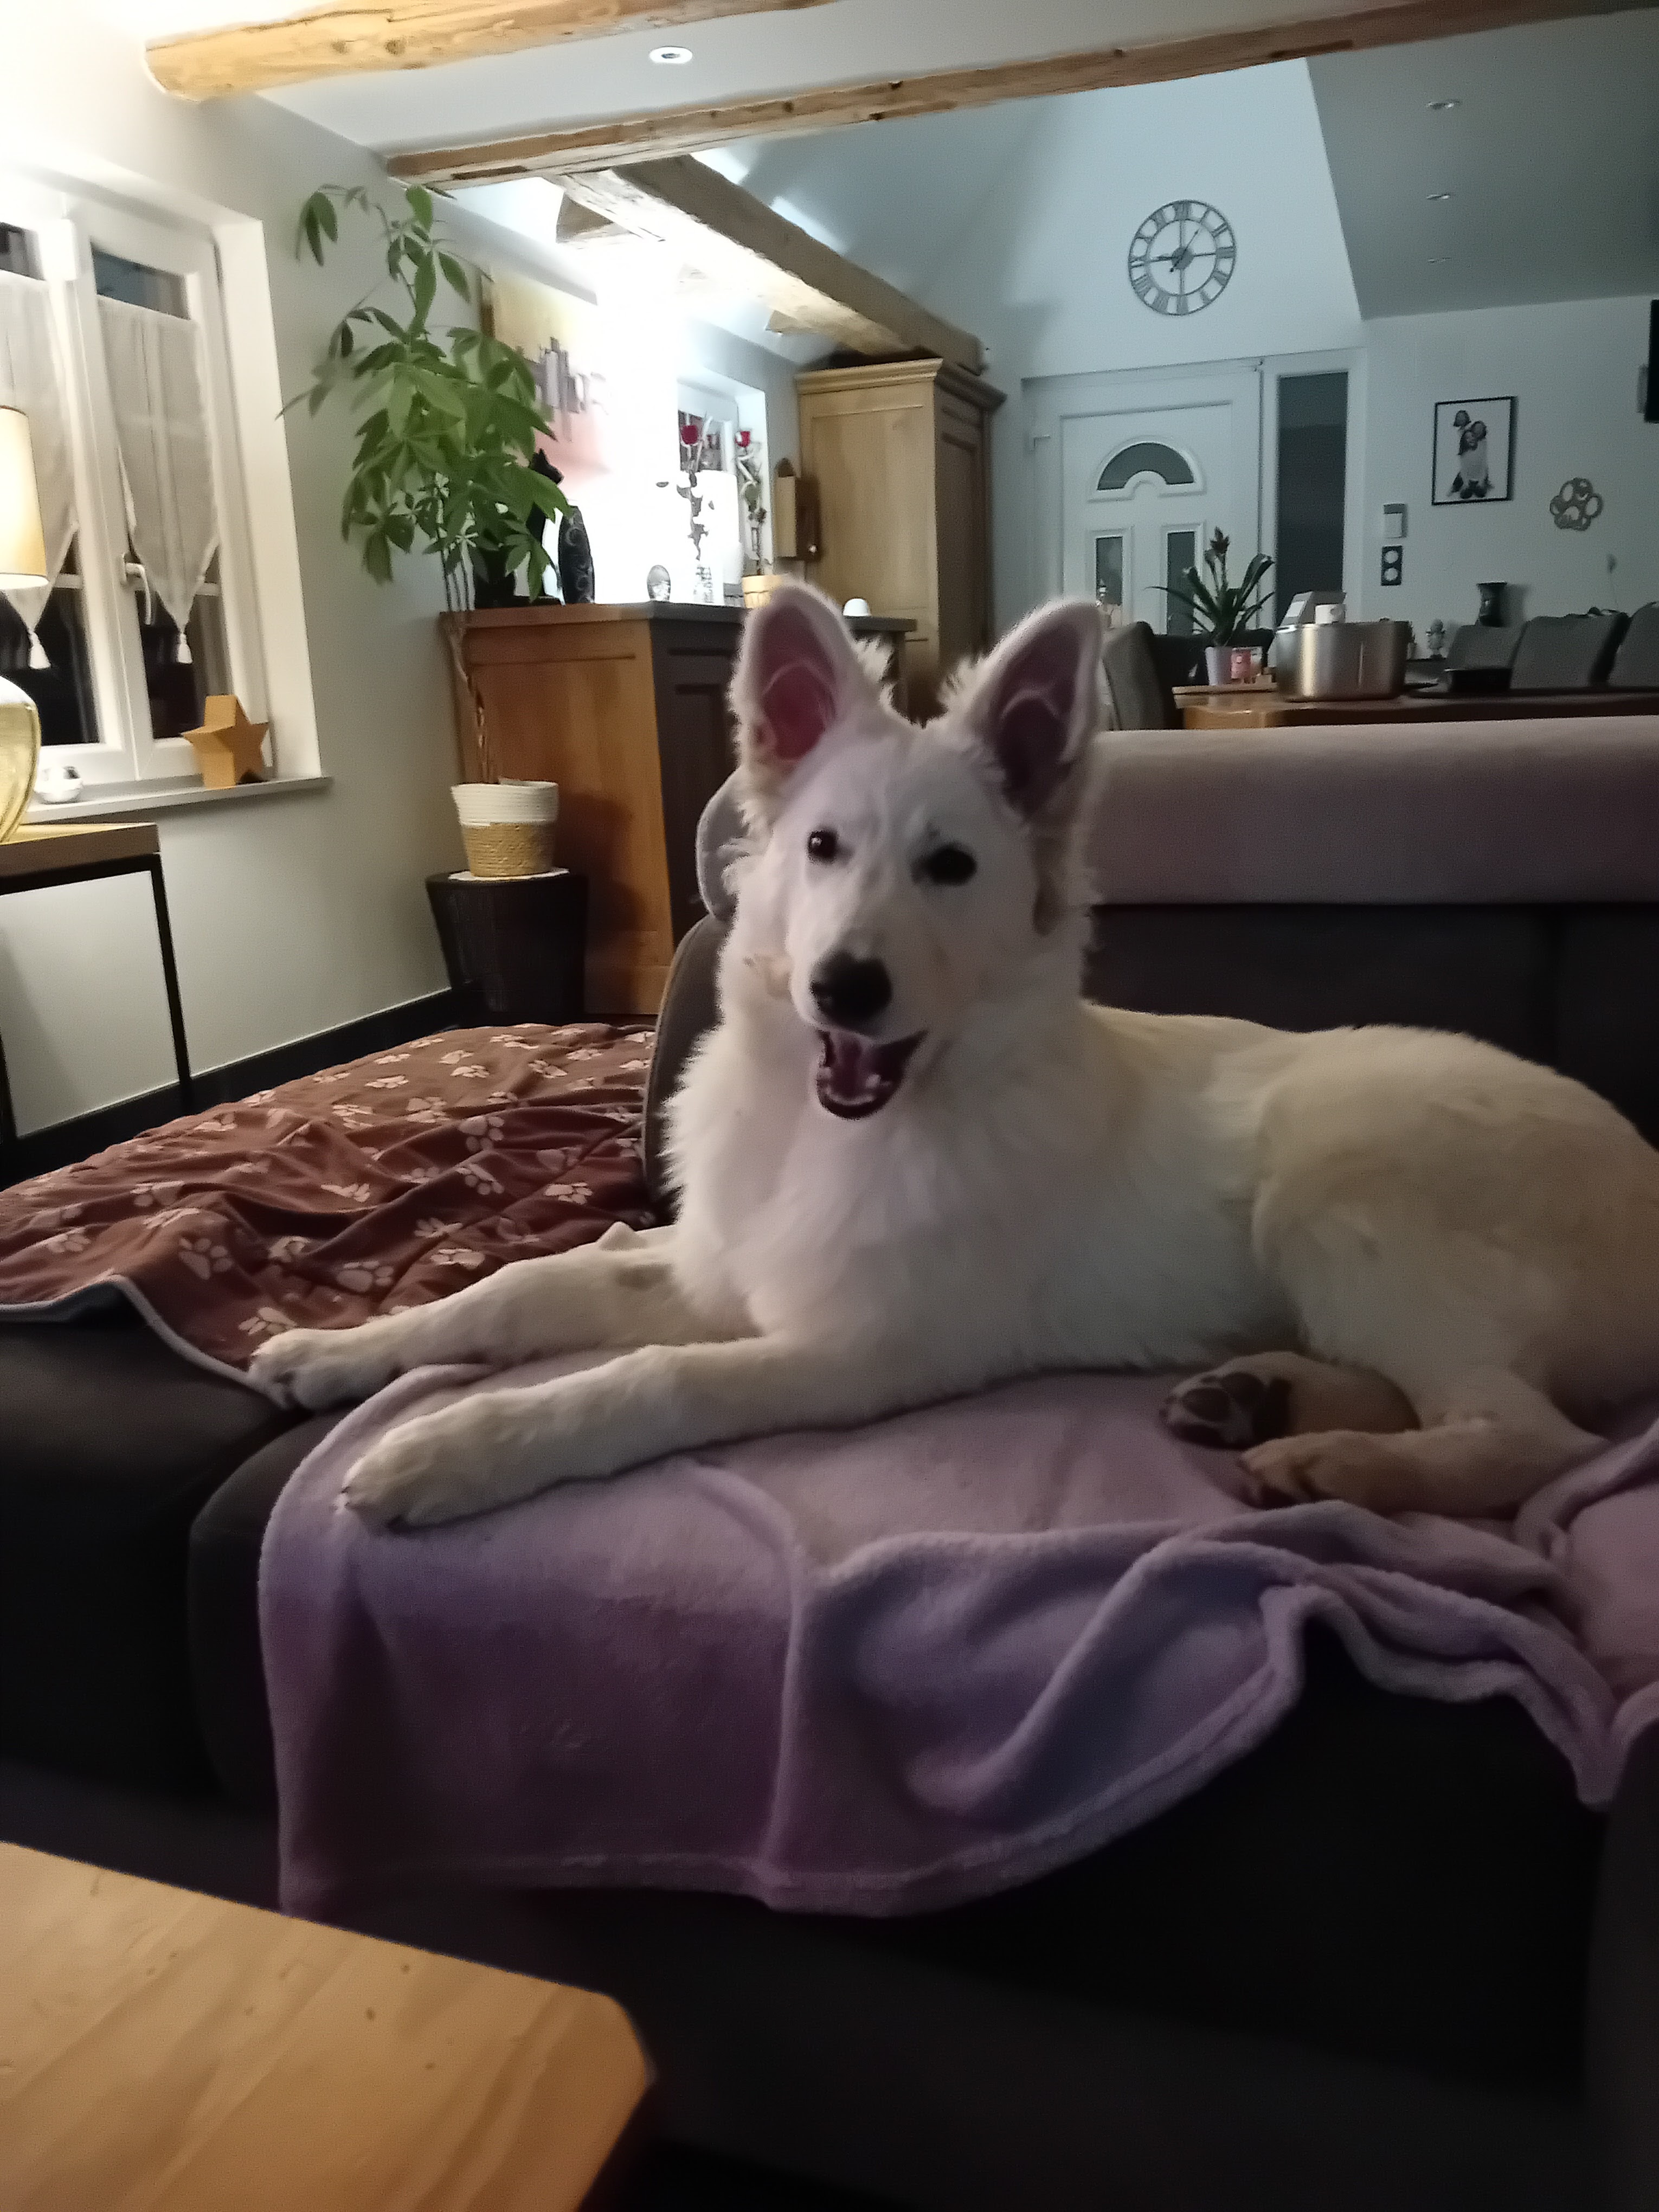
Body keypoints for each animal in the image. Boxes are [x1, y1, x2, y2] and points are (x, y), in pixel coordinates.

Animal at [251, 584, 1659, 1529]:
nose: (845, 986)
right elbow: (520, 1287)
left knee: (1528, 1437)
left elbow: (645, 1383)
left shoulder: (848, 1352)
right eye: (822, 848)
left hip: (1343, 1188)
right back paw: (1258, 1399)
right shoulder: (716, 1271)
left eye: (950, 867)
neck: (828, 1133)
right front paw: (342, 1350)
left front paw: (453, 1448)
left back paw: (1340, 1464)